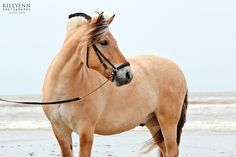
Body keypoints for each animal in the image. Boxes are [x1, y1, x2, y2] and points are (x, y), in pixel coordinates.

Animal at [42, 12, 188, 157]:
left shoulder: (86, 131)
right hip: (154, 123)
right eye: (104, 42)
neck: (64, 91)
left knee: (172, 150)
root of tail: (178, 69)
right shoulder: (60, 132)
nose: (128, 74)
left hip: (168, 123)